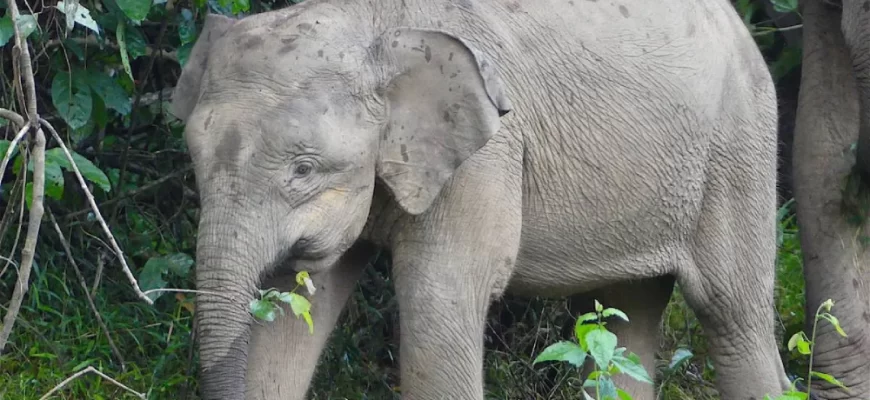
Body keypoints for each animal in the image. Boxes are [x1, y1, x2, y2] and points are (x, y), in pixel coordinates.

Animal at [172, 0, 796, 400]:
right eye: (196, 162)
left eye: (303, 168)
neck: (374, 22)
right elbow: (295, 305)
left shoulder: (487, 153)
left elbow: (438, 298)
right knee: (628, 315)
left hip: (738, 145)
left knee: (730, 312)